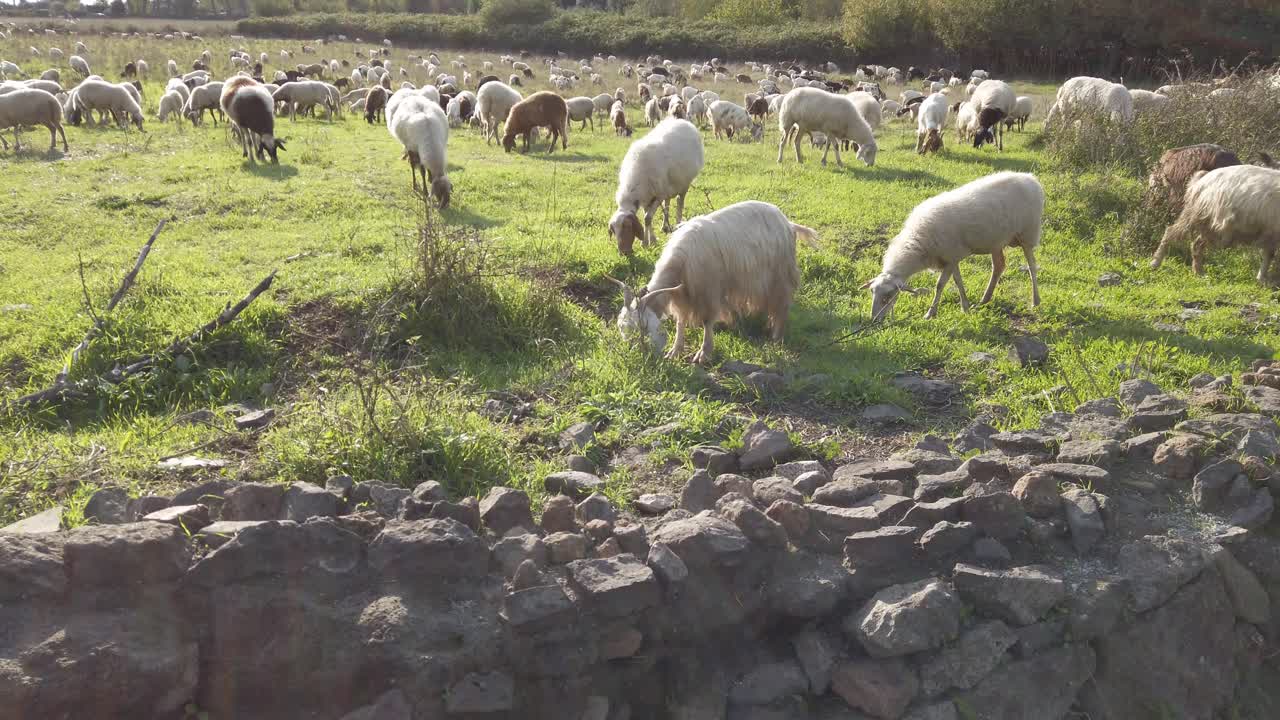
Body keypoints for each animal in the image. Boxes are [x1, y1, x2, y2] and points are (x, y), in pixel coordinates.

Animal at [609, 117, 704, 254]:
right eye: (614, 231)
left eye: (628, 226)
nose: (624, 253)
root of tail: (684, 121)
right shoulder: (647, 197)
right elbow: (647, 218)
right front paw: (651, 240)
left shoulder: (658, 195)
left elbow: (647, 219)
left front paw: (646, 243)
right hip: (668, 186)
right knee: (668, 203)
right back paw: (665, 226)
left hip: (684, 183)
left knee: (680, 202)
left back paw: (678, 224)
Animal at [610, 201, 815, 364]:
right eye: (621, 328)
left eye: (643, 327)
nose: (635, 354)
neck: (681, 263)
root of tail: (788, 223)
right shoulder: (682, 295)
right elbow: (680, 322)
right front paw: (675, 351)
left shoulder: (709, 292)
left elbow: (707, 321)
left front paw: (704, 353)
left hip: (780, 275)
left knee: (782, 305)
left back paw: (777, 337)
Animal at [864, 172, 1044, 320]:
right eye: (872, 292)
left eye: (888, 296)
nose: (874, 320)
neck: (918, 241)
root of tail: (1031, 178)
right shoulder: (951, 258)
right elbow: (958, 281)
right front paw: (966, 307)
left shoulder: (950, 256)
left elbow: (940, 285)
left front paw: (930, 313)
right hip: (996, 241)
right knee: (999, 266)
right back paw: (984, 300)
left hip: (1028, 234)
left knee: (1032, 266)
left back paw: (1035, 301)